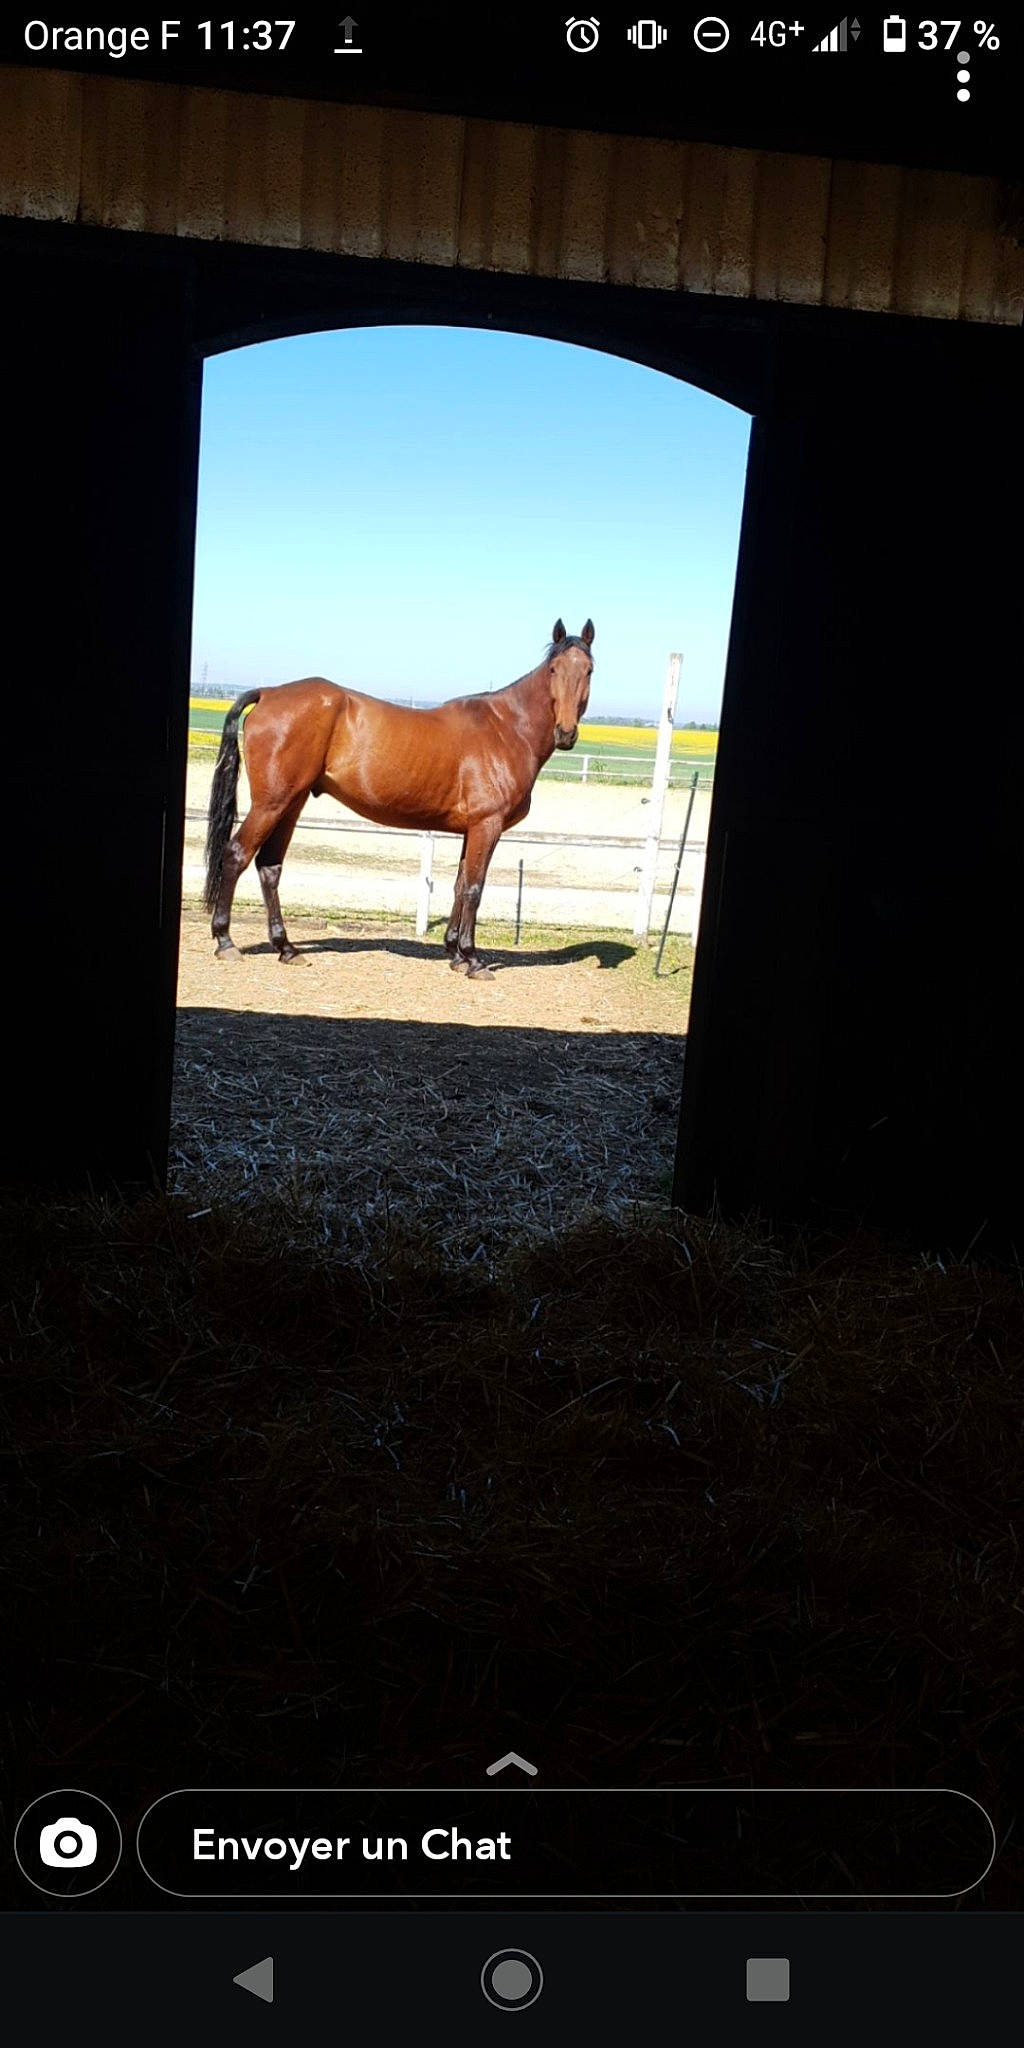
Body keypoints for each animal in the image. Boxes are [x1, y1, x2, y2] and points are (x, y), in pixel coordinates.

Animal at [203, 618, 595, 979]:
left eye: (589, 670)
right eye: (554, 669)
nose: (566, 733)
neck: (507, 729)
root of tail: (269, 693)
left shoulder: (471, 830)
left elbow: (458, 885)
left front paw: (455, 954)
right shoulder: (488, 825)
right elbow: (474, 888)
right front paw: (473, 959)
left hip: (291, 803)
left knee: (269, 867)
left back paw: (286, 948)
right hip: (270, 804)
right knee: (236, 855)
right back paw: (226, 942)